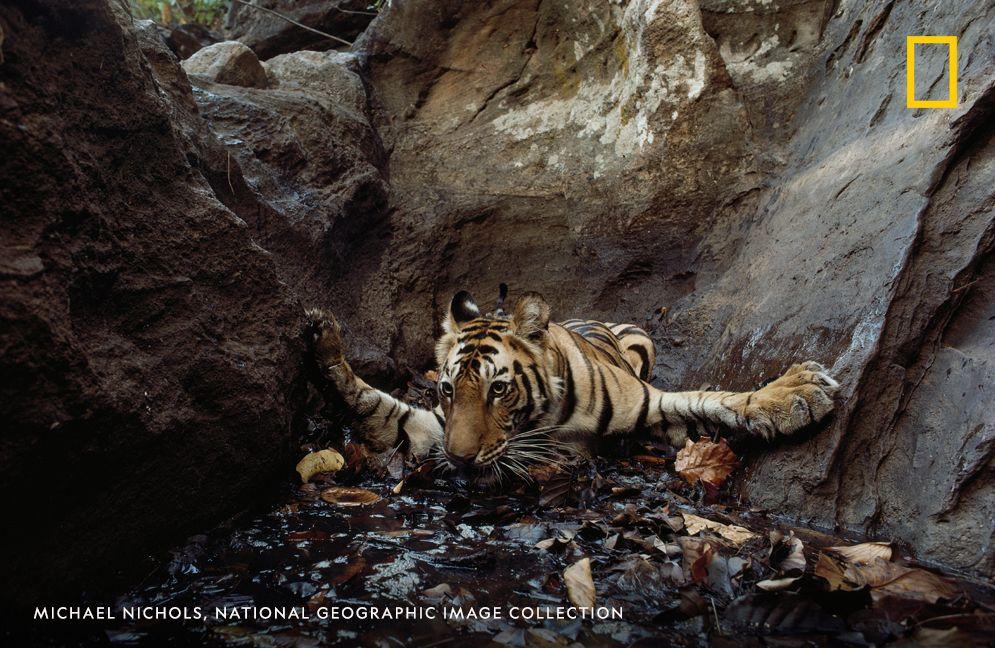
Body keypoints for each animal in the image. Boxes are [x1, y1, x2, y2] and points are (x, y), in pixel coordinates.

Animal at [306, 288, 840, 486]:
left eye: (498, 390)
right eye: (448, 390)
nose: (457, 460)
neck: (544, 417)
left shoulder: (650, 399)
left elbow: (711, 399)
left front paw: (798, 392)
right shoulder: (431, 429)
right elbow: (377, 405)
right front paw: (324, 342)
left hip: (643, 344)